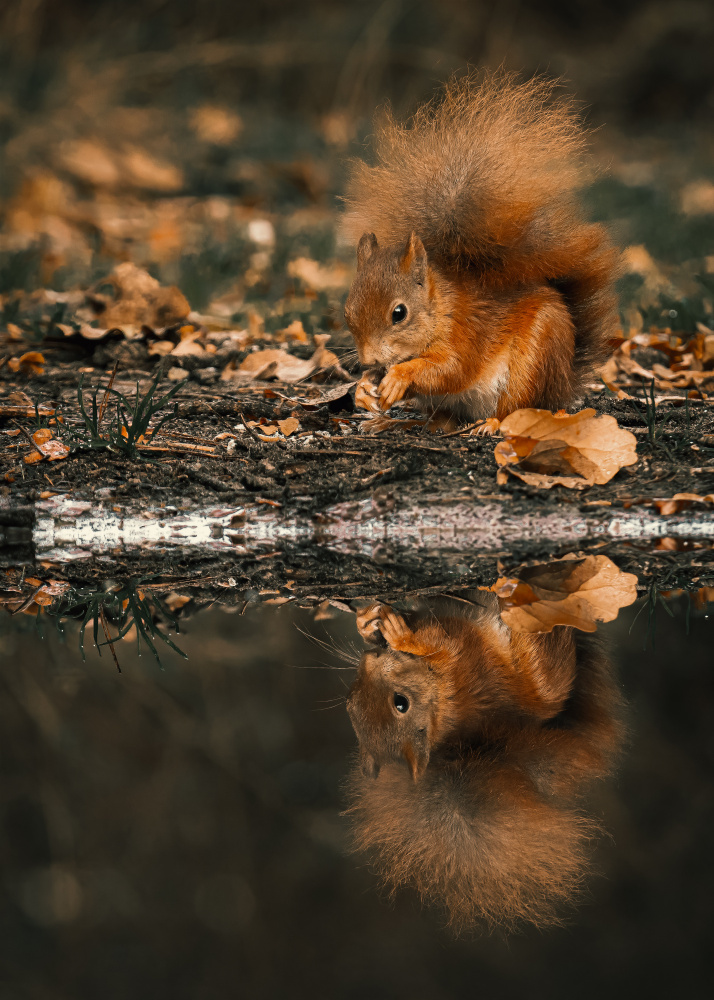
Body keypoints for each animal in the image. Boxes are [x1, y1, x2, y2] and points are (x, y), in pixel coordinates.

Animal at [342, 73, 620, 422]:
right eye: (348, 311)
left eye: (399, 313)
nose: (367, 361)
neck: (440, 308)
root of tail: (563, 386)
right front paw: (363, 387)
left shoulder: (465, 332)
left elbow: (451, 370)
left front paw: (399, 376)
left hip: (533, 359)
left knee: (515, 408)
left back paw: (489, 425)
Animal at [344, 597, 624, 931]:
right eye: (401, 702)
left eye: (348, 700)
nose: (369, 658)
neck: (443, 700)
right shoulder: (462, 658)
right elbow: (445, 638)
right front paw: (397, 634)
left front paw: (368, 624)